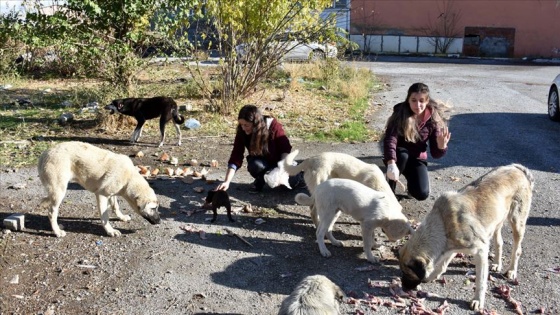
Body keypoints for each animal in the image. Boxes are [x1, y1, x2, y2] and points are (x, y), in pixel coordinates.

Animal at [398, 164, 532, 312]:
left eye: (407, 273)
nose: (403, 287)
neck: (443, 222)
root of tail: (518, 168)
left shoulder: (480, 250)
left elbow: (480, 280)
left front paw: (478, 300)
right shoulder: (451, 246)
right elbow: (442, 264)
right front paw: (433, 275)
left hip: (517, 222)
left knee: (517, 249)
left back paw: (512, 270)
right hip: (496, 222)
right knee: (499, 242)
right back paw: (497, 264)